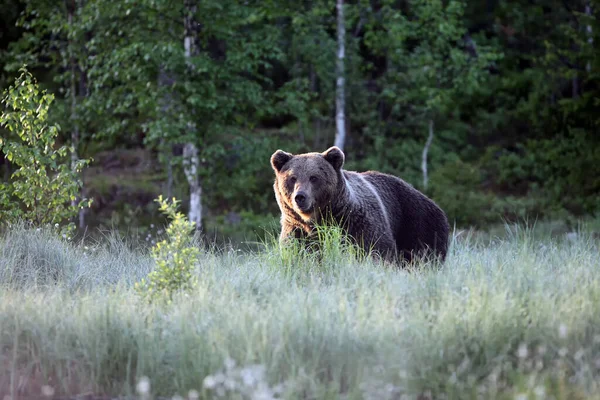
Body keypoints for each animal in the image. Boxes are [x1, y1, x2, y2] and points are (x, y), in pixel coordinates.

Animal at [270, 145, 448, 264]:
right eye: (292, 178)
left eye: (314, 177)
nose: (300, 197)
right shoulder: (297, 229)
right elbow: (297, 252)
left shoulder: (356, 223)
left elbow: (375, 249)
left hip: (417, 220)